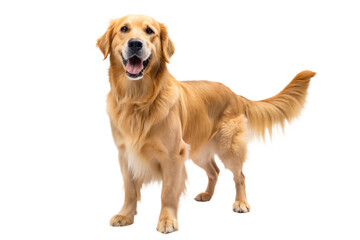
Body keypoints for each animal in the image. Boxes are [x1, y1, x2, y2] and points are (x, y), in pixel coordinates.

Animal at [95, 14, 316, 233]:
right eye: (124, 29)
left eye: (150, 31)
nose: (135, 43)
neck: (138, 100)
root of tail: (235, 94)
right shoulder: (125, 154)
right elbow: (130, 189)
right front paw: (125, 215)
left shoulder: (173, 155)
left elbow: (168, 192)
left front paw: (167, 220)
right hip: (199, 151)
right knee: (214, 171)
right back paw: (207, 195)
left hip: (228, 148)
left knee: (240, 176)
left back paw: (241, 203)